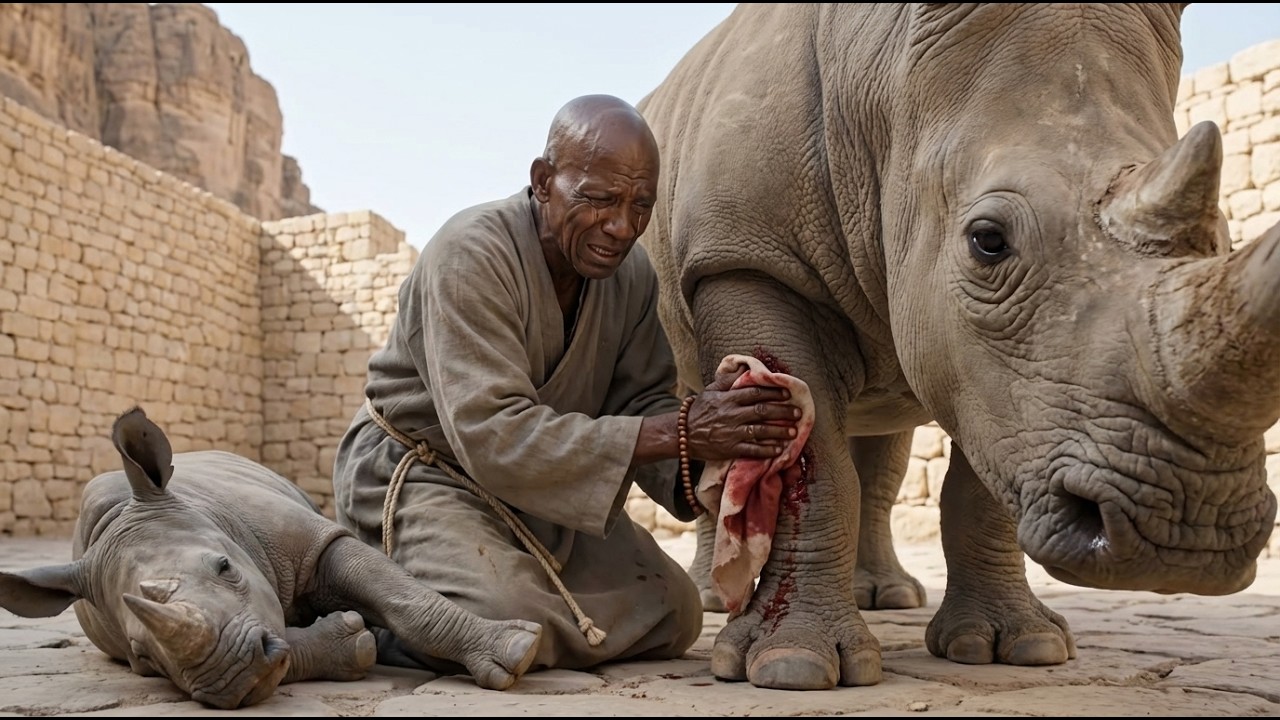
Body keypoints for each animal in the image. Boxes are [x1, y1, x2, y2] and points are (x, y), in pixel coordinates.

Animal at [0, 407, 542, 709]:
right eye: (141, 657)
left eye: (225, 568)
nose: (233, 676)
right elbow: (285, 648)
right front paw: (351, 643)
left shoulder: (312, 539)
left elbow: (398, 594)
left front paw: (517, 651)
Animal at [636, 3, 1280, 691]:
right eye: (988, 241)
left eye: (1223, 240)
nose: (1190, 532)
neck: (885, 91)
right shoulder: (746, 258)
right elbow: (815, 465)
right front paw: (791, 667)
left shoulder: (998, 369)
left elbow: (986, 473)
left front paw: (1015, 648)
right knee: (701, 409)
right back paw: (713, 598)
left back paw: (886, 598)